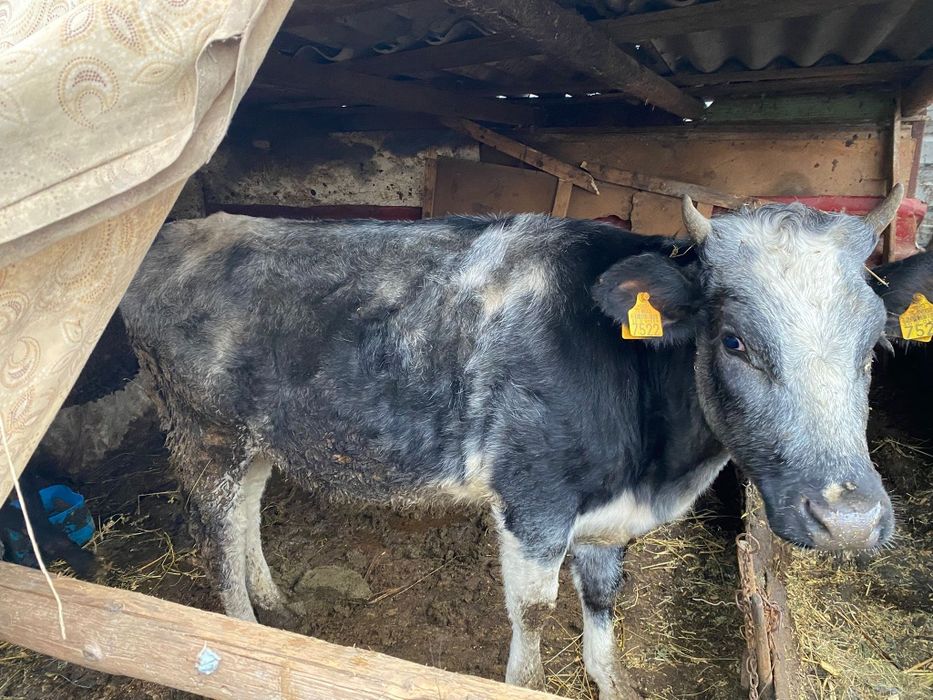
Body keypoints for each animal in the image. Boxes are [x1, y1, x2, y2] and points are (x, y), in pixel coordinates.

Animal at [119, 186, 931, 699]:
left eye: (874, 348)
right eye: (733, 340)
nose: (850, 521)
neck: (654, 465)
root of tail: (182, 232)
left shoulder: (606, 515)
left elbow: (603, 598)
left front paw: (611, 679)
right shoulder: (532, 500)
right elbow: (535, 611)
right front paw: (529, 684)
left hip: (261, 438)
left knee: (249, 510)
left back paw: (274, 601)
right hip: (202, 432)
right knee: (217, 533)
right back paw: (239, 629)